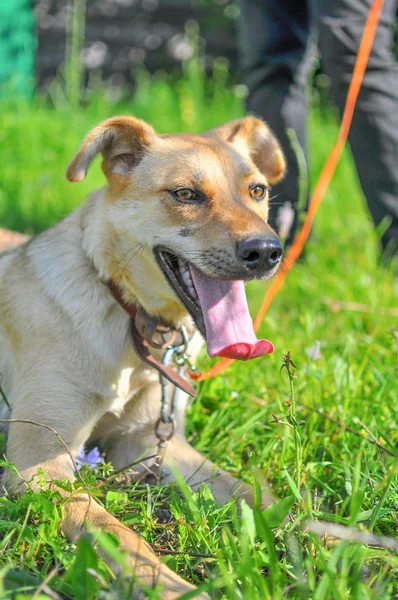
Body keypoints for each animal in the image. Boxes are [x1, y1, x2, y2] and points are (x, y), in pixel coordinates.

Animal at [0, 115, 286, 596]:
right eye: (185, 194)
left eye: (258, 191)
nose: (266, 252)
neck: (133, 318)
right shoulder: (39, 464)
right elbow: (118, 535)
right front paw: (169, 586)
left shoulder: (151, 443)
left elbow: (259, 495)